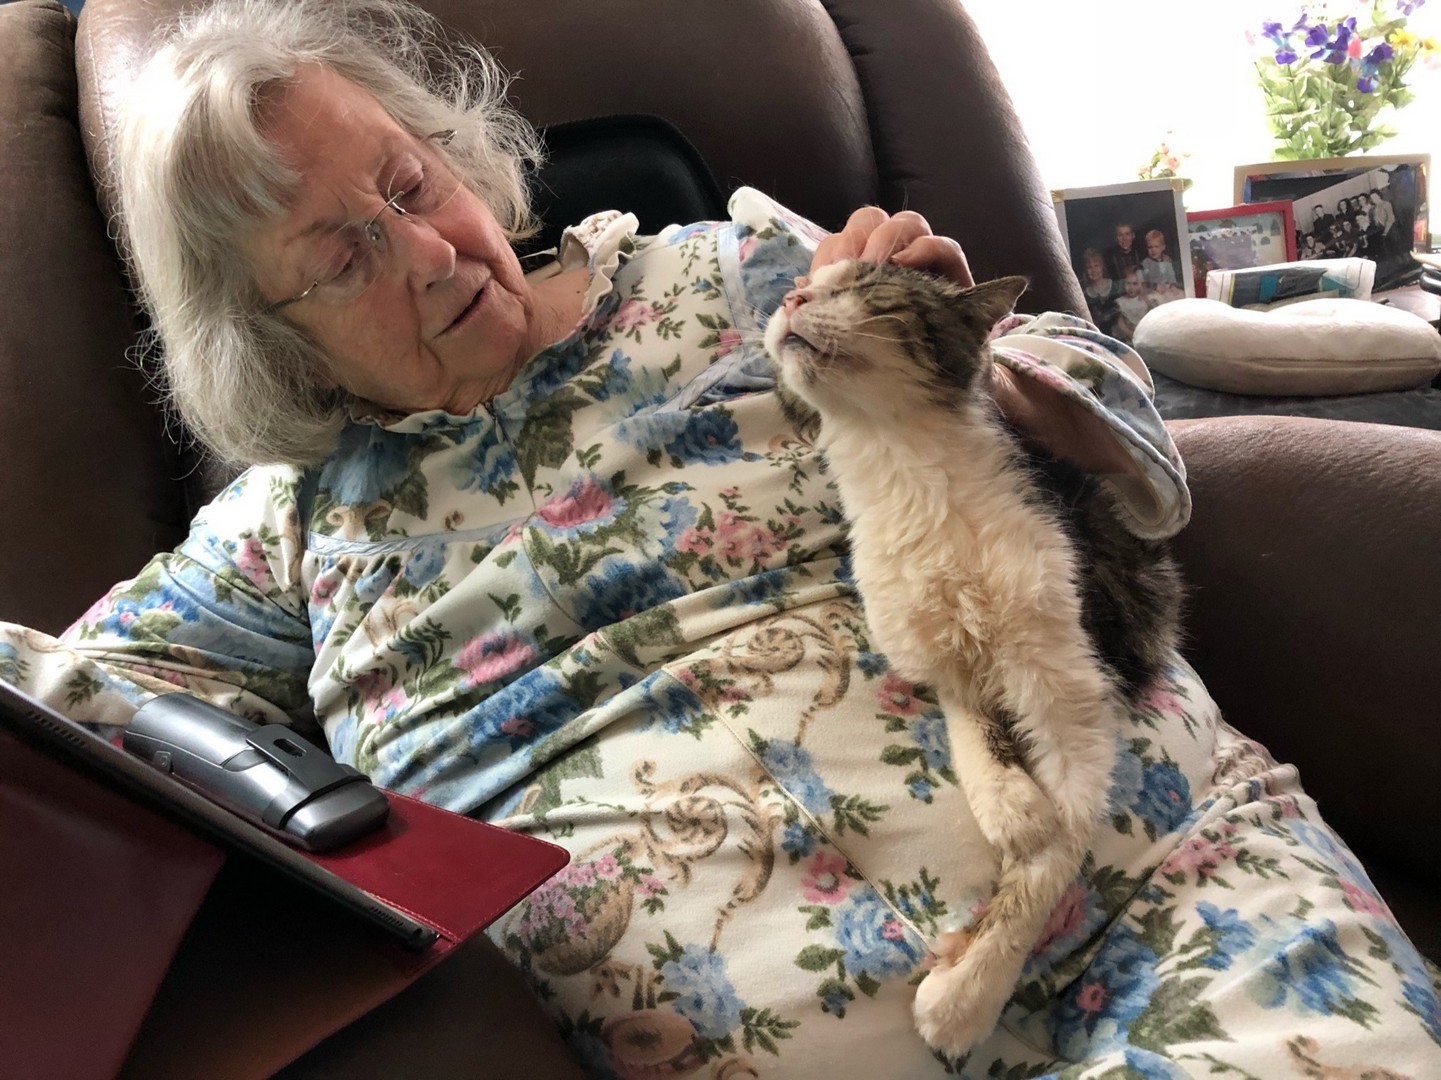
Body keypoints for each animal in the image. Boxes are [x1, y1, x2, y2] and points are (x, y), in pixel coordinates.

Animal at [763, 260, 1183, 1059]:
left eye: (866, 289)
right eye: (808, 283)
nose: (791, 297)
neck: (906, 473)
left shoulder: (1069, 680)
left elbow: (1056, 855)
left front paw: (965, 997)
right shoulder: (943, 662)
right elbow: (973, 732)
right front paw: (1011, 805)